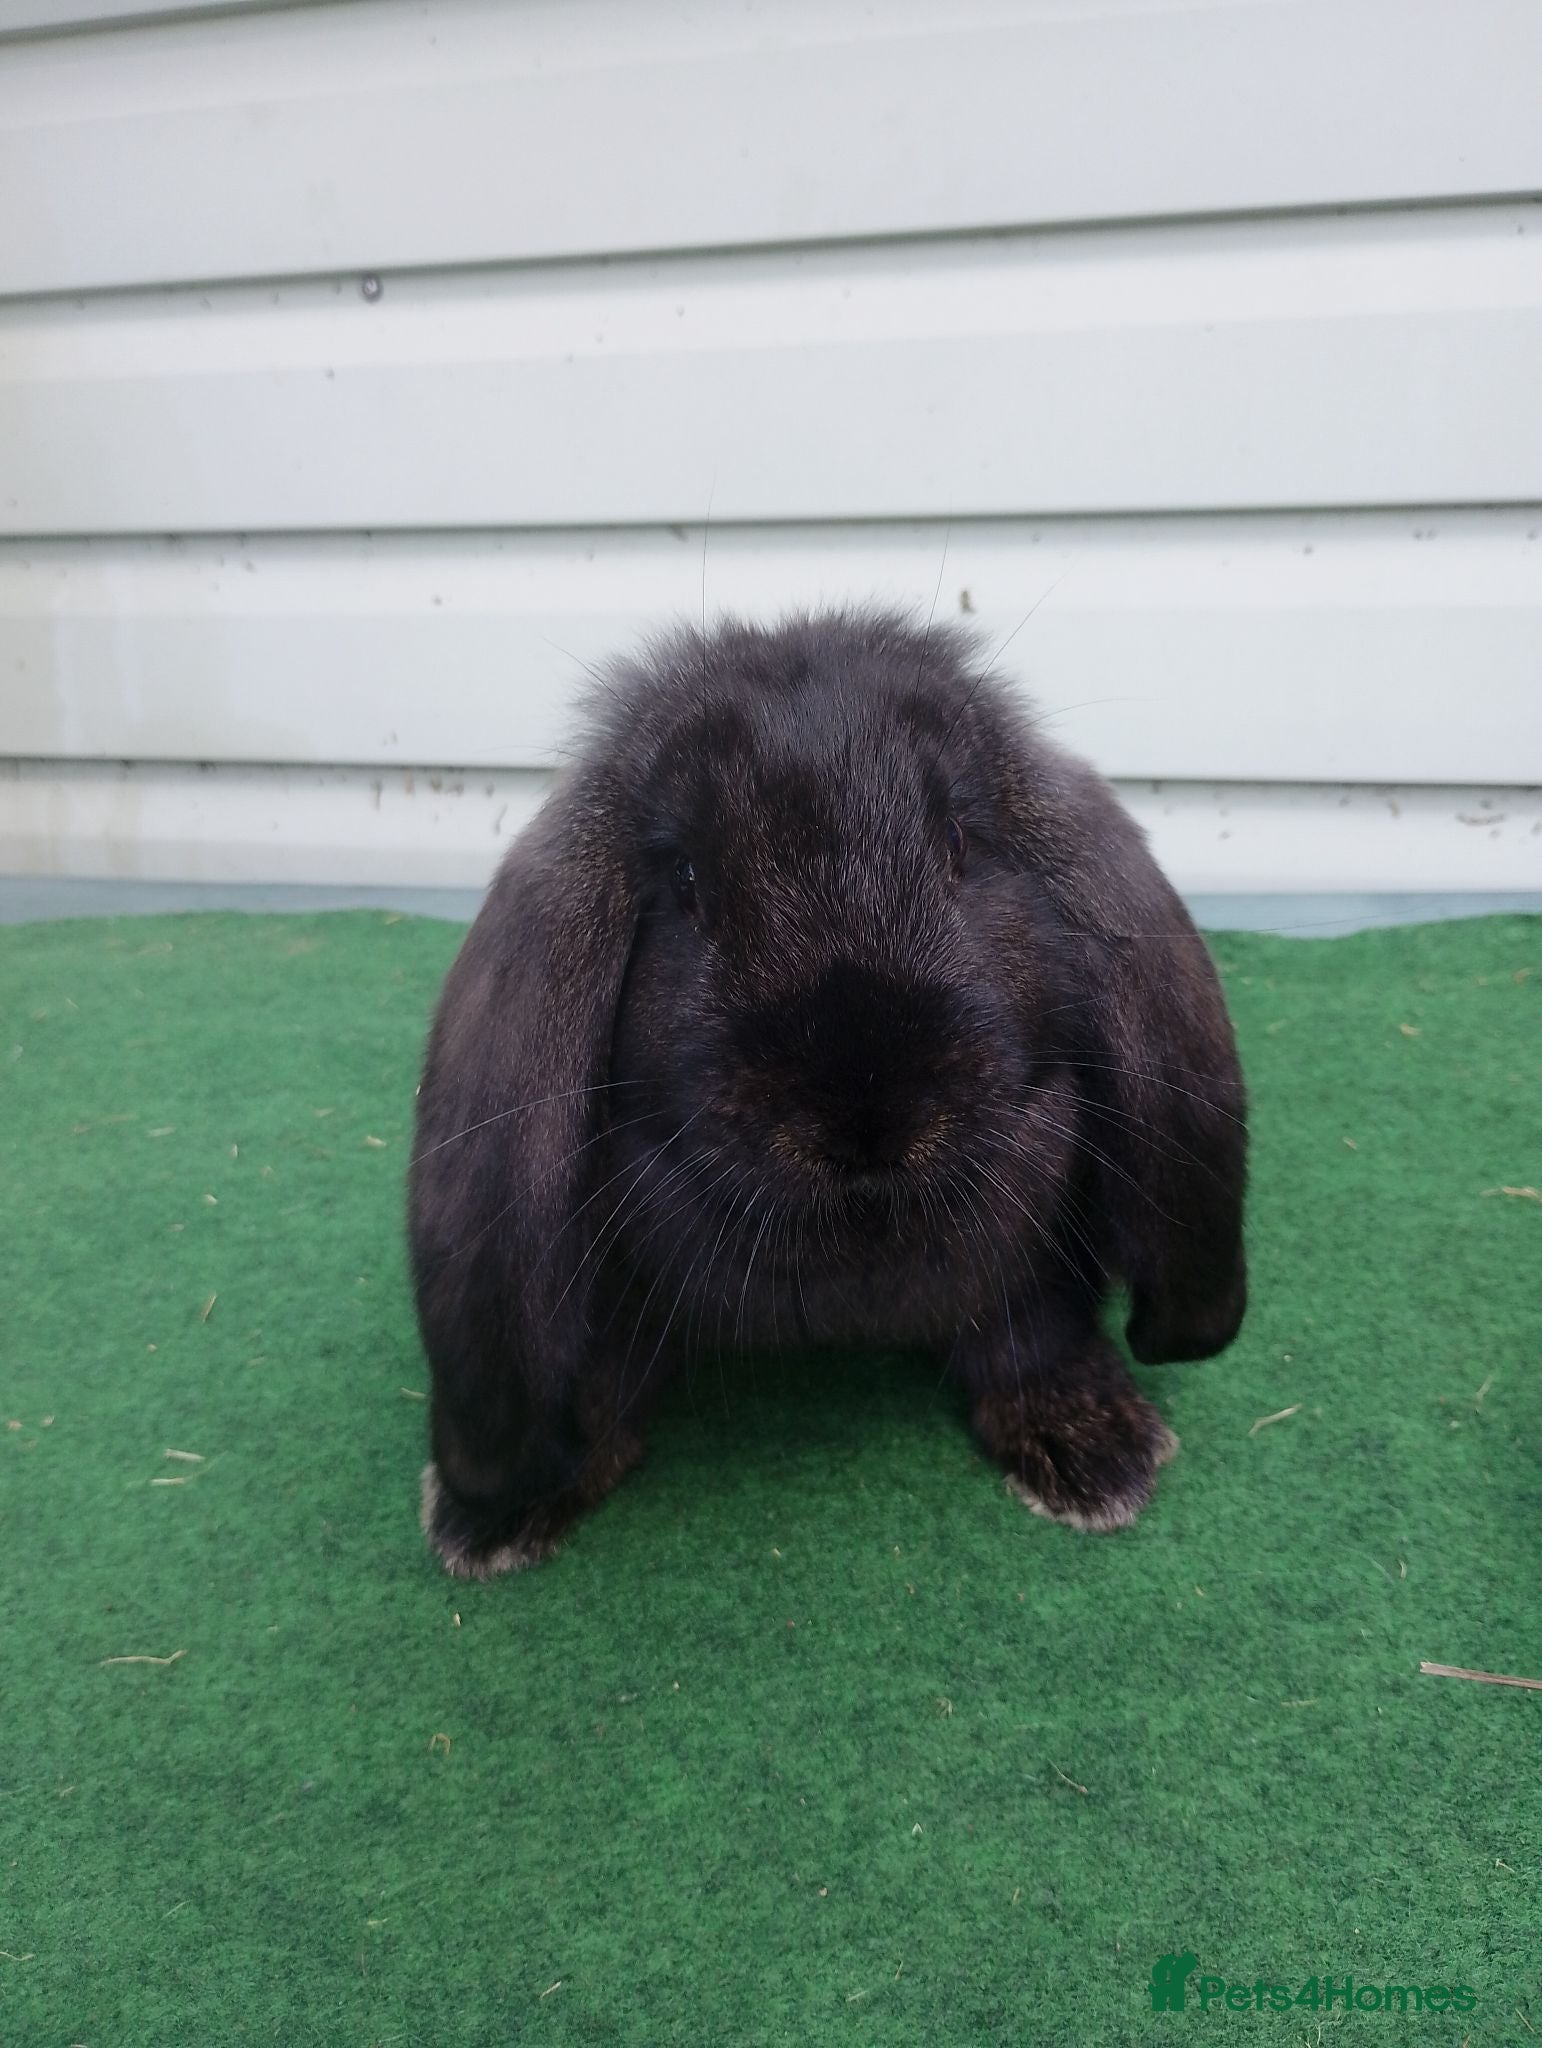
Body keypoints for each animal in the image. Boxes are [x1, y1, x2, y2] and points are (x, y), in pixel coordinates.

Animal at [408, 609, 1247, 1577]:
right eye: (685, 880)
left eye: (960, 842)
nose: (866, 1110)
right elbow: (599, 1397)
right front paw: (493, 1517)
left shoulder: (1029, 1267)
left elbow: (1031, 1335)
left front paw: (1102, 1454)